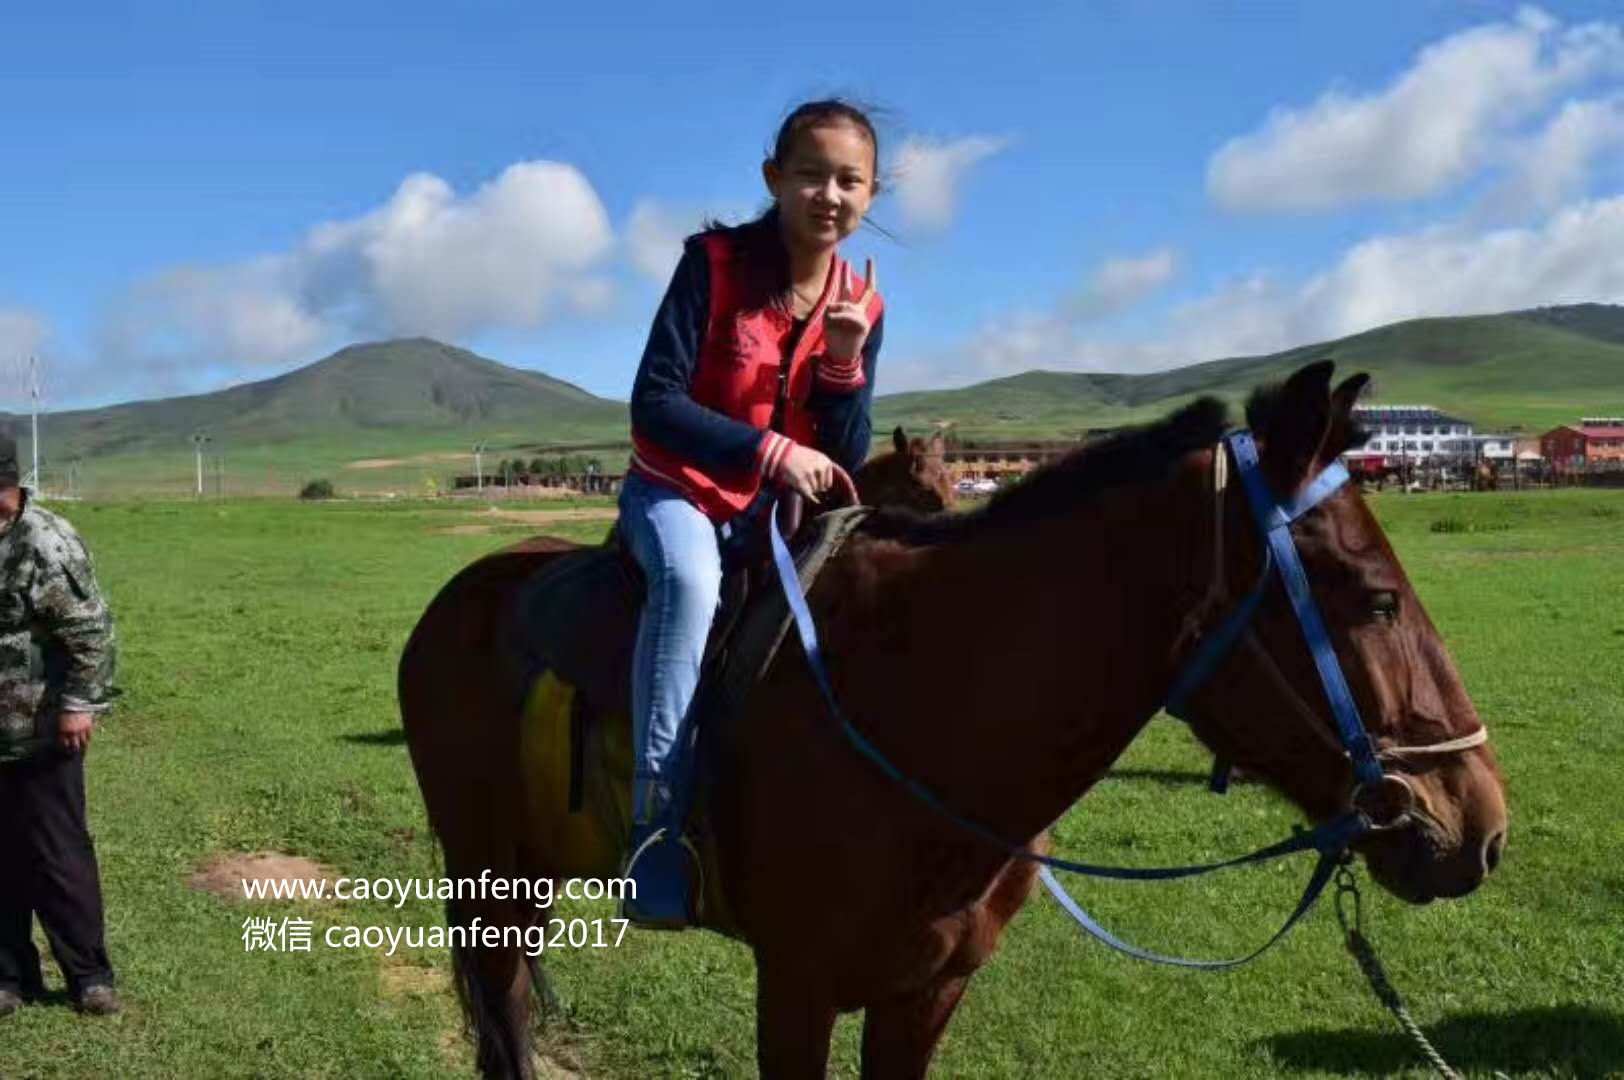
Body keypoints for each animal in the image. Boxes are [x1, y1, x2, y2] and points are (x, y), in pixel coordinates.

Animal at [396, 363, 1507, 1078]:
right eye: (1376, 600)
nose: (1481, 826)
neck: (921, 701)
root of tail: (457, 597)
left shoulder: (925, 994)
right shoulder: (795, 987)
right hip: (486, 880)